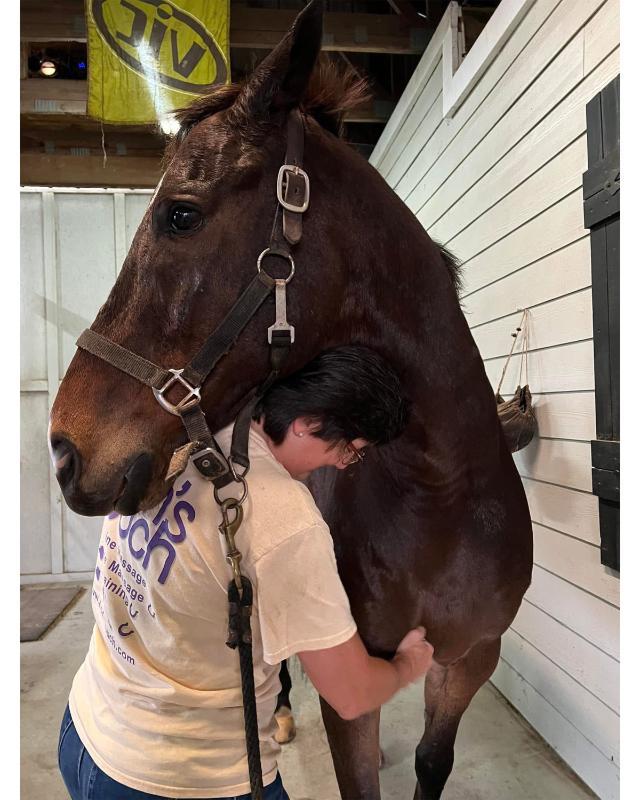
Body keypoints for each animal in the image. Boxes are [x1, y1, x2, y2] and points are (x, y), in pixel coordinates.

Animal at [49, 2, 533, 797]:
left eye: (182, 214)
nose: (64, 450)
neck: (441, 494)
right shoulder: (351, 687)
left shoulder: (470, 660)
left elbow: (432, 762)